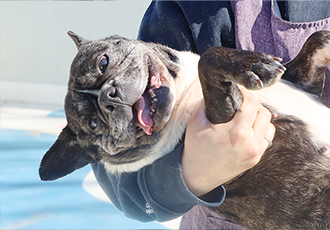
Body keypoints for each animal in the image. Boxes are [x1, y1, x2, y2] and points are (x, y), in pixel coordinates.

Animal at [39, 30, 330, 228]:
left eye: (103, 62)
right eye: (93, 124)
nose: (108, 99)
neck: (183, 94)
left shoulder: (302, 80)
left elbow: (317, 37)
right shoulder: (224, 113)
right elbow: (208, 60)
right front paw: (252, 66)